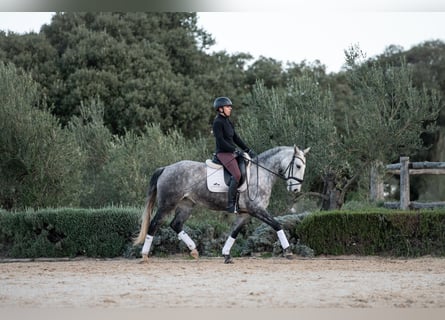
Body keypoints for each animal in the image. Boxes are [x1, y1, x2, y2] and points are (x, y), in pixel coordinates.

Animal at [134, 145, 310, 262]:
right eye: (298, 165)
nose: (295, 189)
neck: (261, 173)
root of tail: (165, 168)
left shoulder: (245, 214)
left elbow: (234, 232)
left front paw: (226, 254)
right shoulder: (257, 209)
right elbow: (277, 225)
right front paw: (288, 251)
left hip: (186, 205)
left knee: (176, 225)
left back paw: (194, 251)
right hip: (167, 204)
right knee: (154, 224)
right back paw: (144, 255)